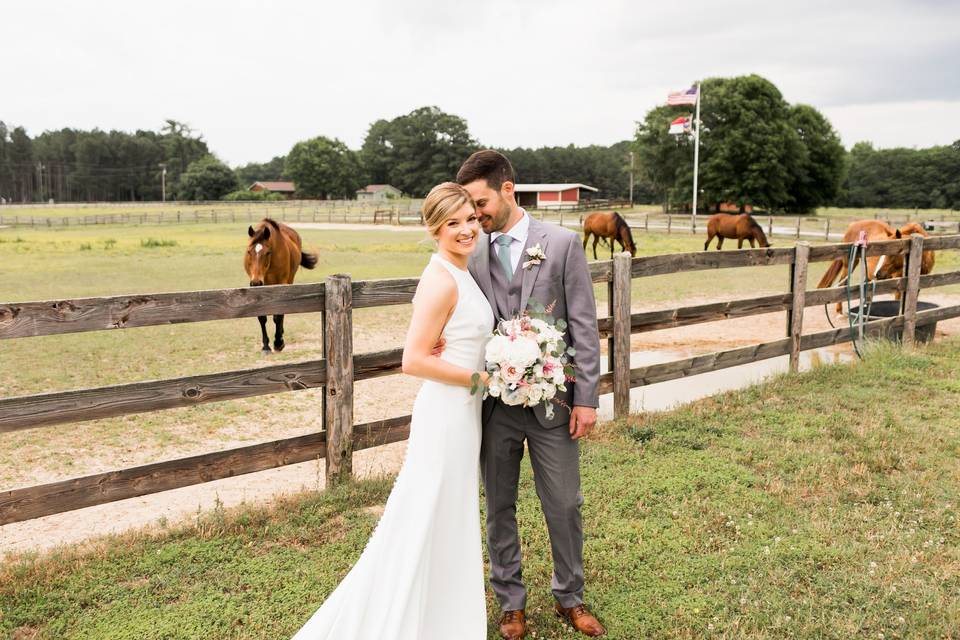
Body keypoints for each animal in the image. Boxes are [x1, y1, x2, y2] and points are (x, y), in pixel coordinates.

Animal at [244, 219, 318, 350]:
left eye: (267, 252)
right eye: (249, 251)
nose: (256, 282)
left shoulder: (281, 284)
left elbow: (278, 314)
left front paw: (278, 342)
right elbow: (261, 316)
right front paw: (266, 345)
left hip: (289, 280)